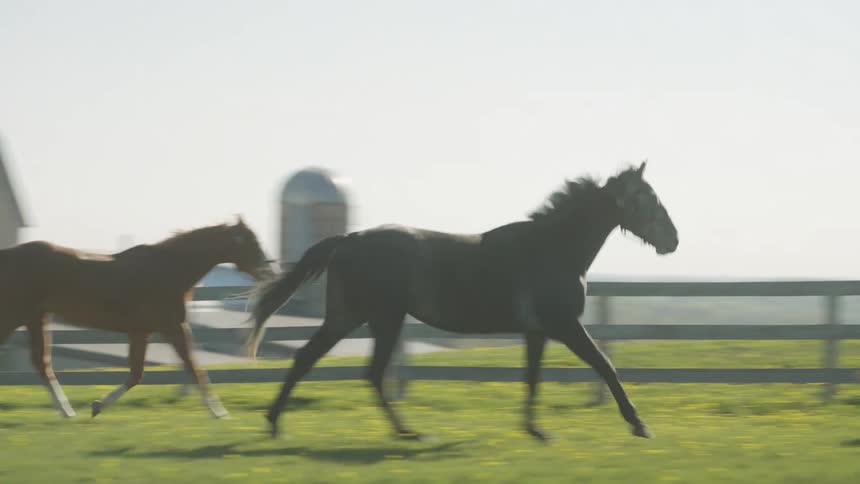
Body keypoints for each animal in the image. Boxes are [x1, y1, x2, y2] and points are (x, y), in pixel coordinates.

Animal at [0, 216, 273, 418]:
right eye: (250, 242)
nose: (269, 271)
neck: (168, 270)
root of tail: (8, 255)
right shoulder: (173, 327)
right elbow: (194, 368)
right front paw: (219, 413)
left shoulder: (142, 331)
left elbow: (137, 374)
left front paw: (97, 406)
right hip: (16, 317)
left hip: (36, 319)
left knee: (42, 364)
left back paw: (67, 412)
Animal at [247, 162, 678, 441]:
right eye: (646, 198)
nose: (673, 240)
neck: (553, 249)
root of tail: (348, 239)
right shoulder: (565, 325)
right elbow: (605, 366)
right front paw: (639, 425)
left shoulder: (537, 331)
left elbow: (533, 377)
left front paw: (534, 430)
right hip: (372, 318)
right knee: (347, 368)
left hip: (359, 318)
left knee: (331, 364)